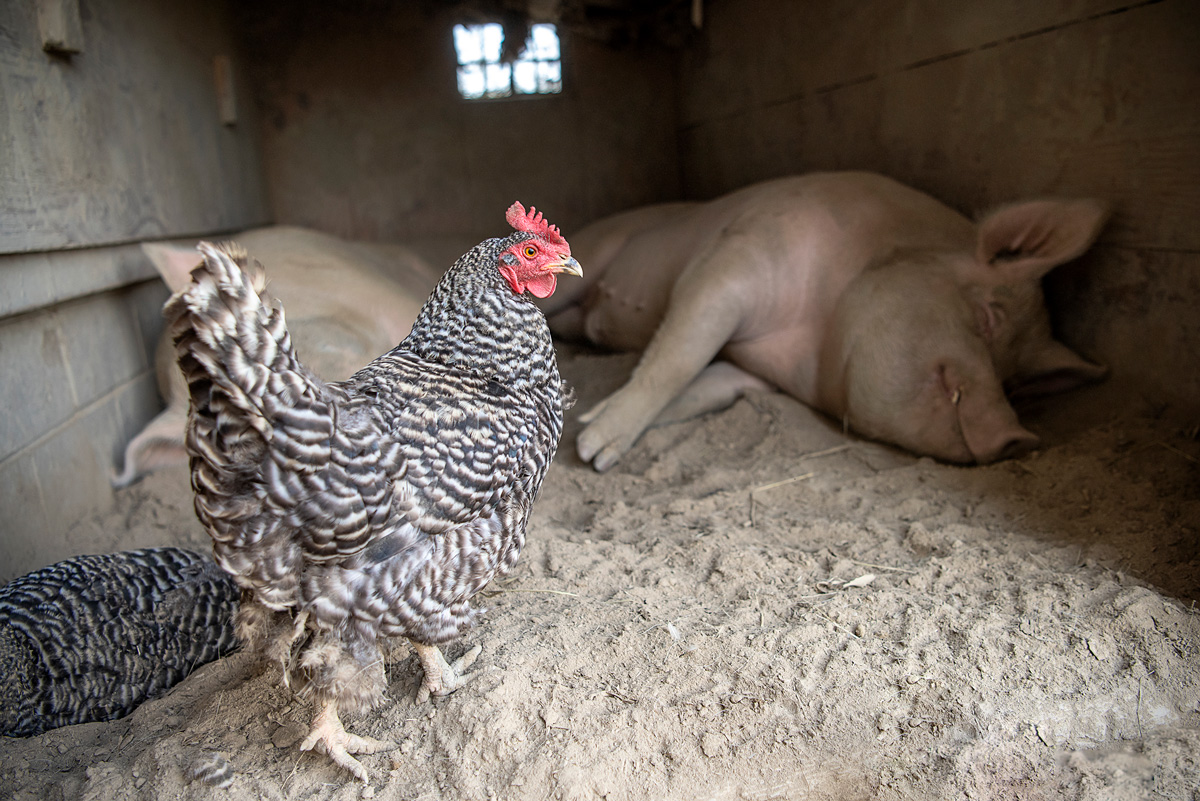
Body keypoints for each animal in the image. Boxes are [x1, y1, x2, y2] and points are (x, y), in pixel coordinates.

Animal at [542, 169, 1104, 470]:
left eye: (1015, 381)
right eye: (989, 317)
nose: (1019, 438)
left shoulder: (755, 372)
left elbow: (705, 384)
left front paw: (591, 430)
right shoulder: (731, 267)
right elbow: (678, 357)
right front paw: (592, 449)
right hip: (587, 256)